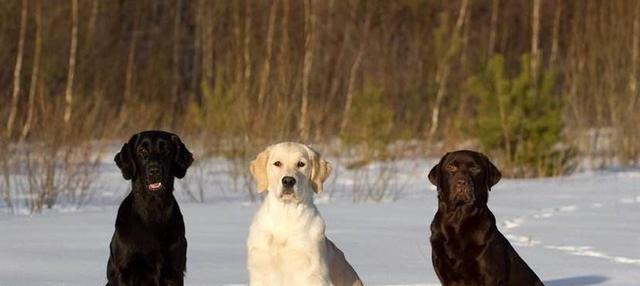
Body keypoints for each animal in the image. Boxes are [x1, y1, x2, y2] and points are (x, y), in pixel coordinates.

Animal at [106, 131, 192, 286]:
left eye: (166, 150)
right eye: (141, 150)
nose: (154, 171)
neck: (153, 209)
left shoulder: (174, 271)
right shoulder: (124, 271)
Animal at [246, 142, 362, 286]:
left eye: (301, 164)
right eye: (277, 163)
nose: (288, 181)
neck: (285, 214)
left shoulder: (312, 275)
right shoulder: (260, 273)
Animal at [428, 151, 544, 284]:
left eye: (475, 169)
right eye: (451, 167)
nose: (461, 182)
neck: (458, 219)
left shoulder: (490, 276)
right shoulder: (444, 274)